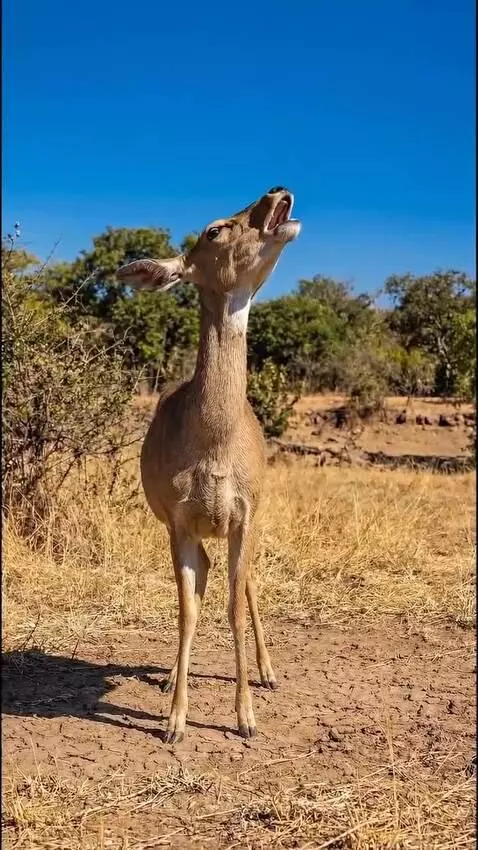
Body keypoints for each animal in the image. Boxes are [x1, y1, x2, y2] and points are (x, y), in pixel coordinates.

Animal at [116, 187, 301, 743]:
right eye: (214, 229)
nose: (277, 194)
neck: (214, 442)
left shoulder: (244, 514)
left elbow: (234, 607)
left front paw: (246, 718)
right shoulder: (179, 522)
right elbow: (188, 608)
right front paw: (175, 720)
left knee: (248, 583)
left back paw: (268, 671)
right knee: (206, 579)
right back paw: (171, 678)